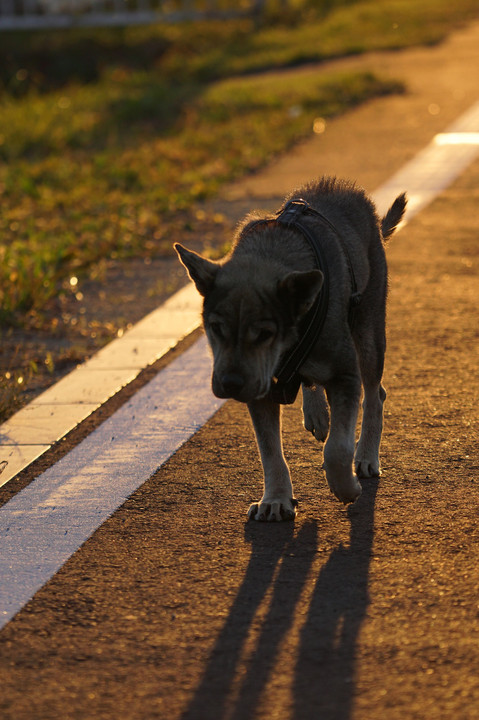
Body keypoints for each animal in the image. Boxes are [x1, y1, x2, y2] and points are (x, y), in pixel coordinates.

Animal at [174, 176, 406, 520]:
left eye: (265, 333)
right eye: (216, 328)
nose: (229, 384)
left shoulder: (345, 373)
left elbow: (337, 448)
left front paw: (346, 487)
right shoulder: (260, 388)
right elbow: (269, 451)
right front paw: (275, 500)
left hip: (369, 333)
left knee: (376, 394)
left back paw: (365, 457)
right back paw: (317, 413)